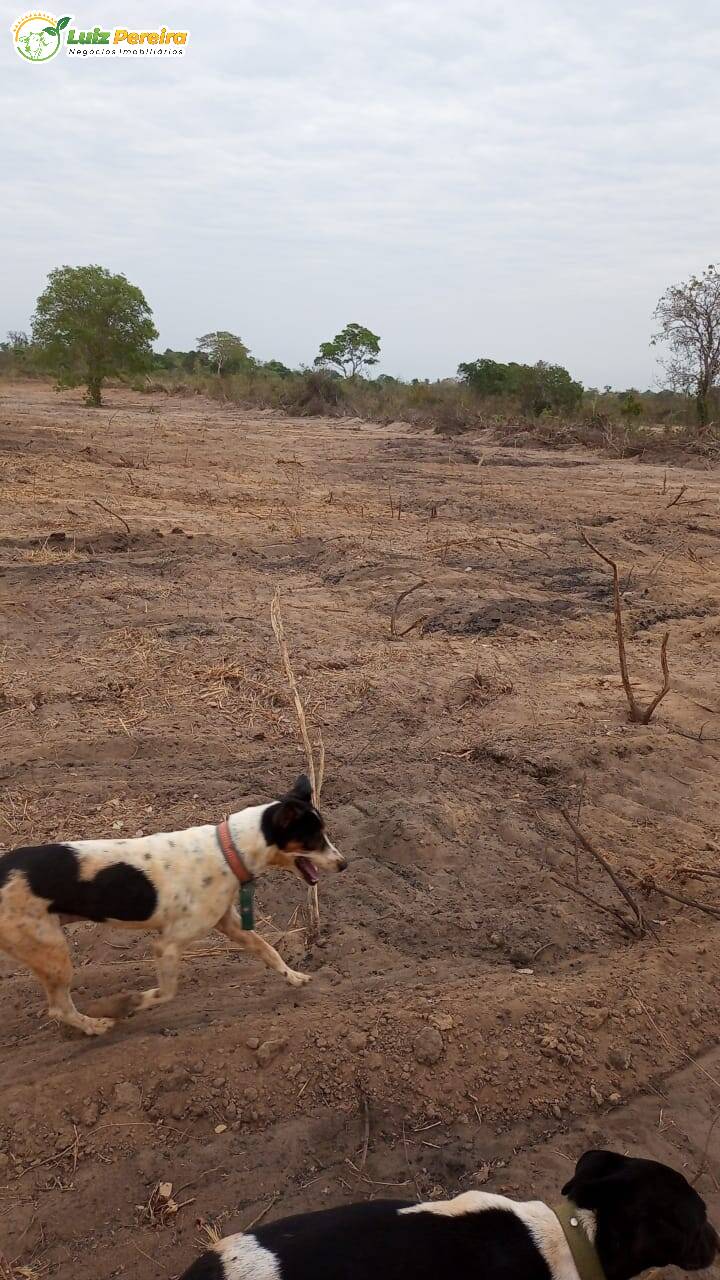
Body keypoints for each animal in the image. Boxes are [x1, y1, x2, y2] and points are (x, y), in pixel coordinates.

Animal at [0, 773, 345, 1034]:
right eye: (315, 839)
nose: (344, 864)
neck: (229, 849)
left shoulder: (231, 924)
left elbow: (269, 951)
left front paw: (295, 977)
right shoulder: (167, 944)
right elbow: (166, 992)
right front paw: (124, 1004)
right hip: (52, 954)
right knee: (59, 1008)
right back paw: (95, 1025)